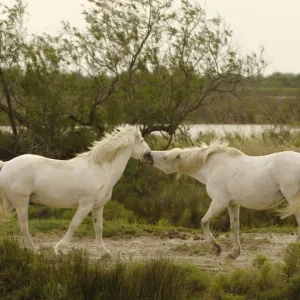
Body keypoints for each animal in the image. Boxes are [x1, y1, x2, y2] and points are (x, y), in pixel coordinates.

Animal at [0, 124, 150, 255]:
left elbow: (98, 228)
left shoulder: (98, 206)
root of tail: (6, 164)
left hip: (9, 203)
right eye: (142, 140)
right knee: (23, 225)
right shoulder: (85, 205)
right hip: (20, 202)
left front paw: (104, 253)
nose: (149, 154)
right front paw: (60, 248)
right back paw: (33, 250)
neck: (101, 170)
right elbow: (74, 224)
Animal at [143, 142, 300, 258]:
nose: (148, 154)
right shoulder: (233, 204)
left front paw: (216, 248)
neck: (212, 167)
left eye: (165, 157)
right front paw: (234, 253)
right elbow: (235, 228)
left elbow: (204, 221)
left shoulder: (219, 202)